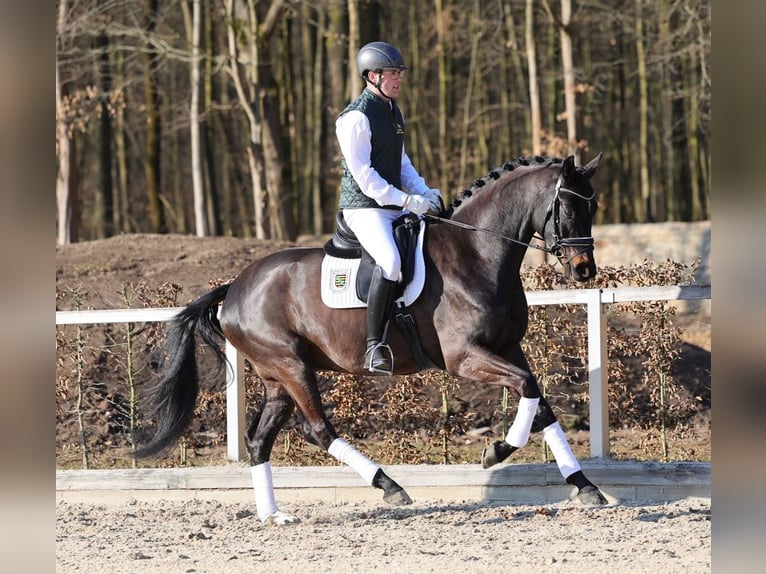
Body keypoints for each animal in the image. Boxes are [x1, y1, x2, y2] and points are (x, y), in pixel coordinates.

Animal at [136, 153, 606, 525]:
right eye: (566, 206)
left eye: (594, 205)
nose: (585, 270)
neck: (477, 254)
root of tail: (234, 287)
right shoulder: (465, 357)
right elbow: (527, 391)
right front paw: (497, 451)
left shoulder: (509, 349)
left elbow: (540, 403)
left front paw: (585, 486)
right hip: (291, 366)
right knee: (317, 429)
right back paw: (390, 485)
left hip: (276, 379)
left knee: (260, 440)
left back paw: (274, 514)